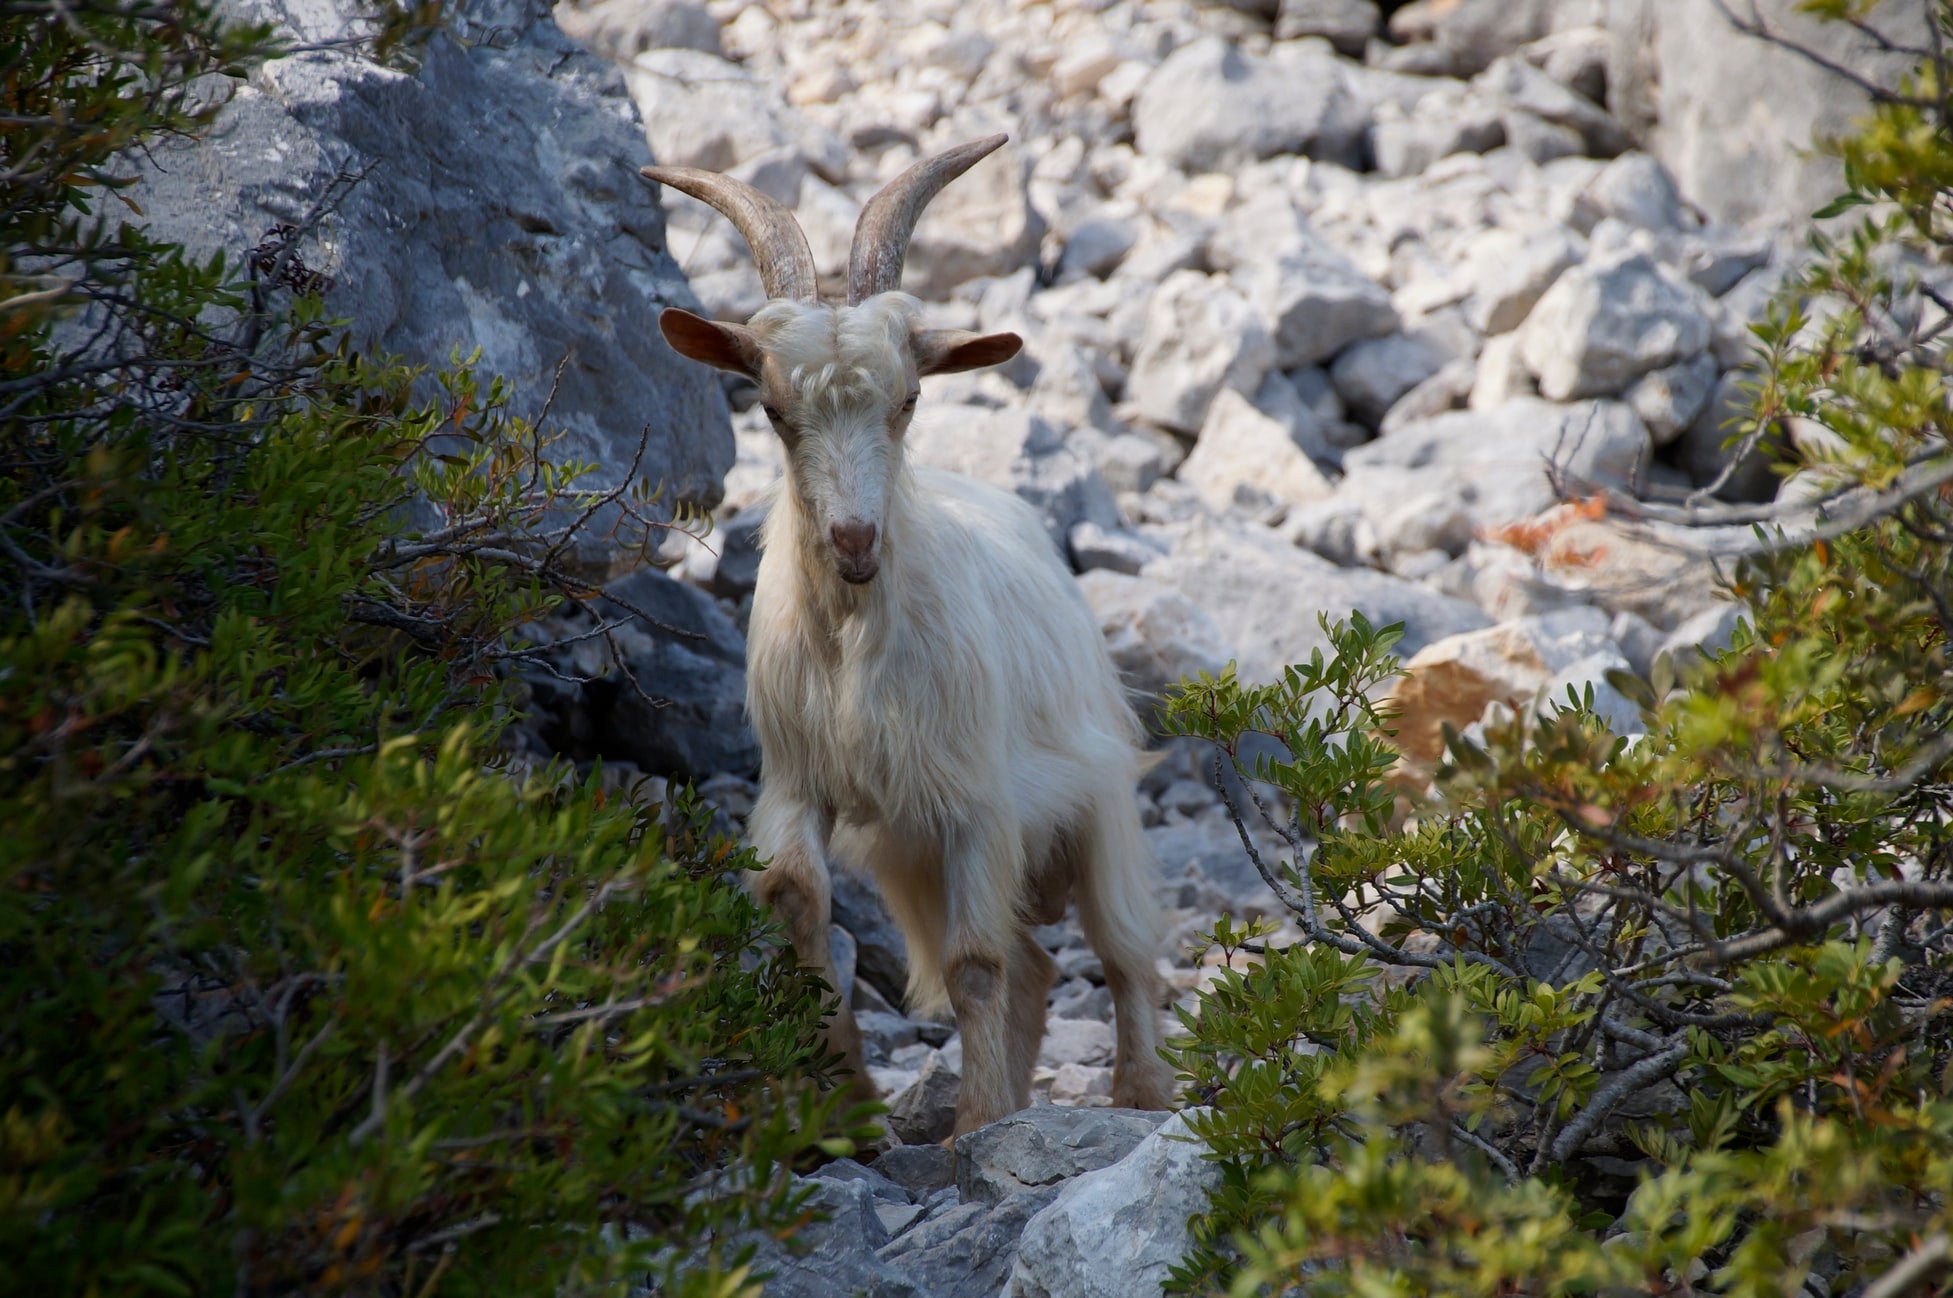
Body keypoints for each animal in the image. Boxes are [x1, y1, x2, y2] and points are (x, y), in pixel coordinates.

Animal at [640, 136, 1163, 1132]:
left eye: (910, 398)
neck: (855, 642)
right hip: (909, 851)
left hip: (1096, 796)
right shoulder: (799, 781)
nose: (854, 540)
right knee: (1039, 965)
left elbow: (972, 966)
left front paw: (977, 1127)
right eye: (771, 410)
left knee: (1123, 953)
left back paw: (1138, 1097)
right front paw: (844, 1104)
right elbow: (799, 900)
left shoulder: (976, 803)